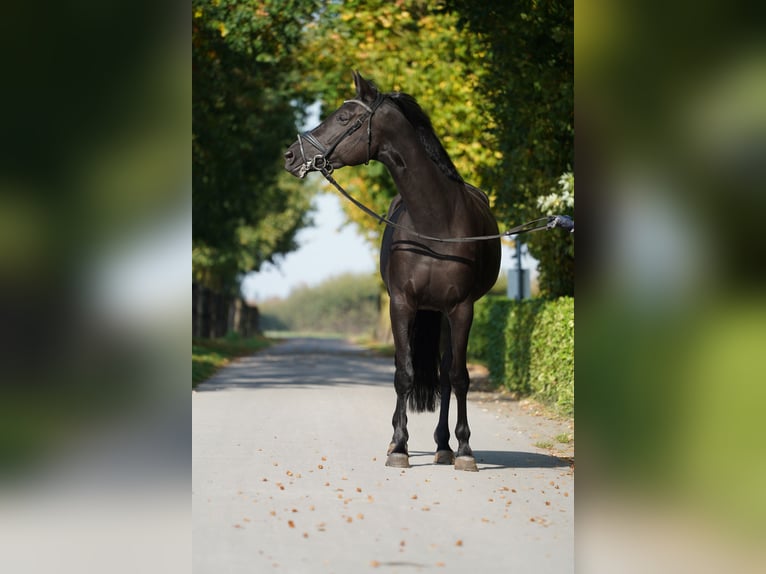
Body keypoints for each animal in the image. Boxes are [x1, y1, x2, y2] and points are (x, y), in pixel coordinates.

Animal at [284, 71, 501, 471]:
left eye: (343, 117)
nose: (291, 155)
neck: (435, 221)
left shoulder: (462, 308)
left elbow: (458, 377)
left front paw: (465, 450)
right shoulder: (401, 304)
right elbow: (404, 374)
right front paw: (399, 447)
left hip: (443, 314)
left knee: (445, 376)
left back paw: (444, 445)